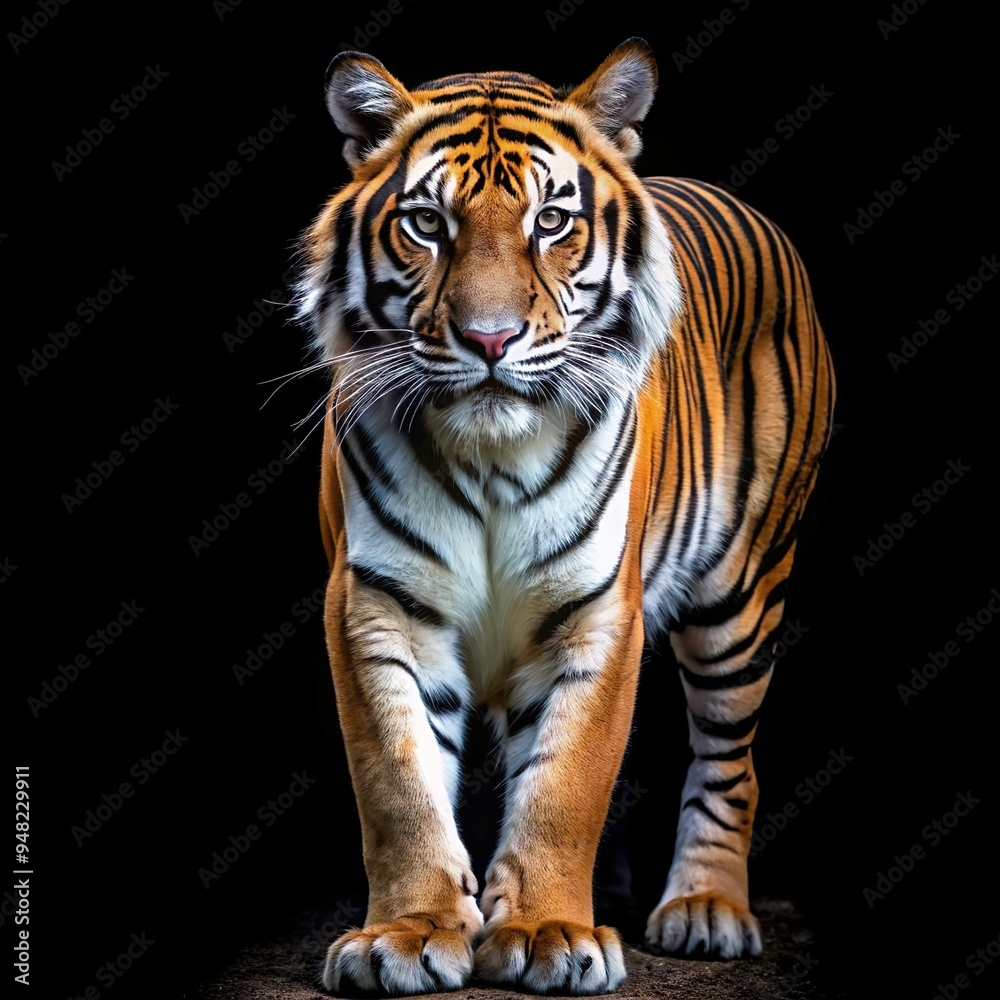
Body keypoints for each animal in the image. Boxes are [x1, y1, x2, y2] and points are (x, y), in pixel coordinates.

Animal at [294, 36, 835, 997]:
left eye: (550, 221)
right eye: (427, 223)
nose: (490, 339)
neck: (488, 459)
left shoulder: (596, 615)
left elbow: (566, 787)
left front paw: (550, 931)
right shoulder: (374, 605)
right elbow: (397, 785)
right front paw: (407, 934)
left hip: (741, 598)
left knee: (728, 759)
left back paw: (705, 909)